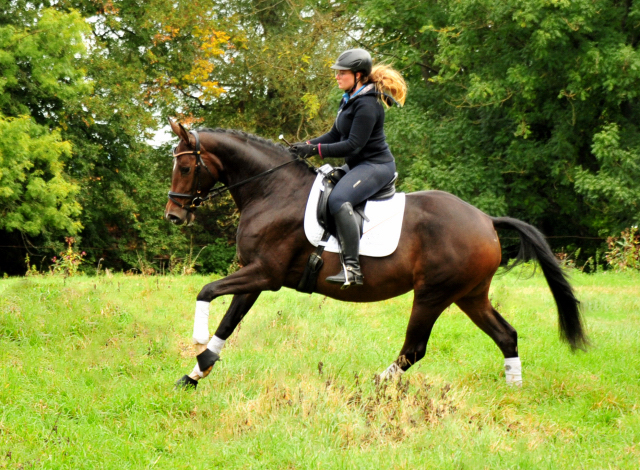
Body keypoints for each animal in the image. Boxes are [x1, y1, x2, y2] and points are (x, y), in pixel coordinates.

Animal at [164, 120, 584, 390]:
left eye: (184, 166)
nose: (173, 215)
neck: (272, 191)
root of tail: (485, 220)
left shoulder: (265, 273)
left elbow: (206, 291)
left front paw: (197, 340)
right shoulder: (254, 274)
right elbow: (229, 322)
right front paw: (196, 373)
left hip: (432, 294)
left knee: (414, 349)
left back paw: (376, 384)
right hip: (469, 294)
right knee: (505, 334)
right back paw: (515, 387)